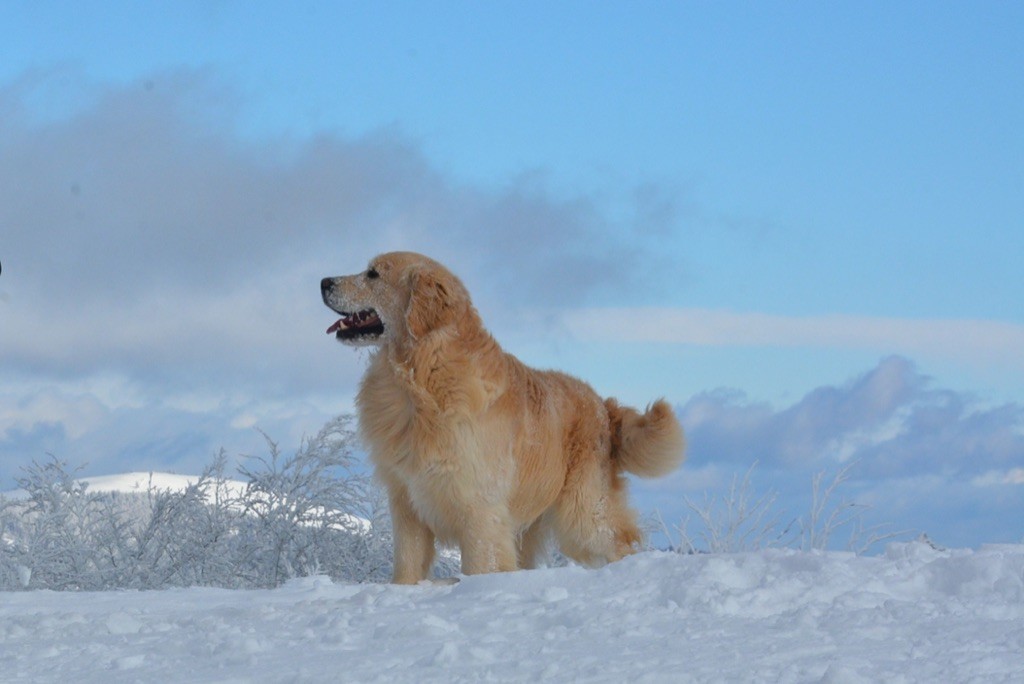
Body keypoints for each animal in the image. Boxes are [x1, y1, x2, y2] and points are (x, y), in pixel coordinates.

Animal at [323, 253, 684, 585]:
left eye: (373, 274)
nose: (324, 282)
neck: (422, 379)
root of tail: (602, 404)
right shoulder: (408, 503)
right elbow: (407, 568)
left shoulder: (480, 509)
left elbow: (481, 565)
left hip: (583, 511)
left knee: (619, 542)